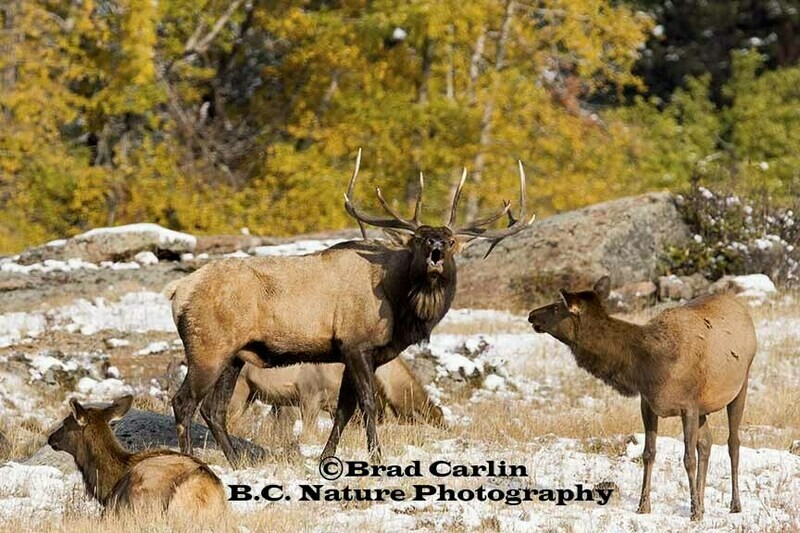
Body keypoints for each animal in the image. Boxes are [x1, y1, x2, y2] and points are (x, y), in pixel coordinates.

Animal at [527, 276, 757, 521]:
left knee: (733, 443)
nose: (531, 314)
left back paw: (734, 504)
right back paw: (704, 504)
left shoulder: (689, 405)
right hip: (704, 407)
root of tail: (742, 309)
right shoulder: (648, 404)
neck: (648, 366)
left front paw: (694, 513)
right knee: (706, 443)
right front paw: (644, 506)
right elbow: (649, 453)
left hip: (741, 385)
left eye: (556, 307)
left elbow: (688, 459)